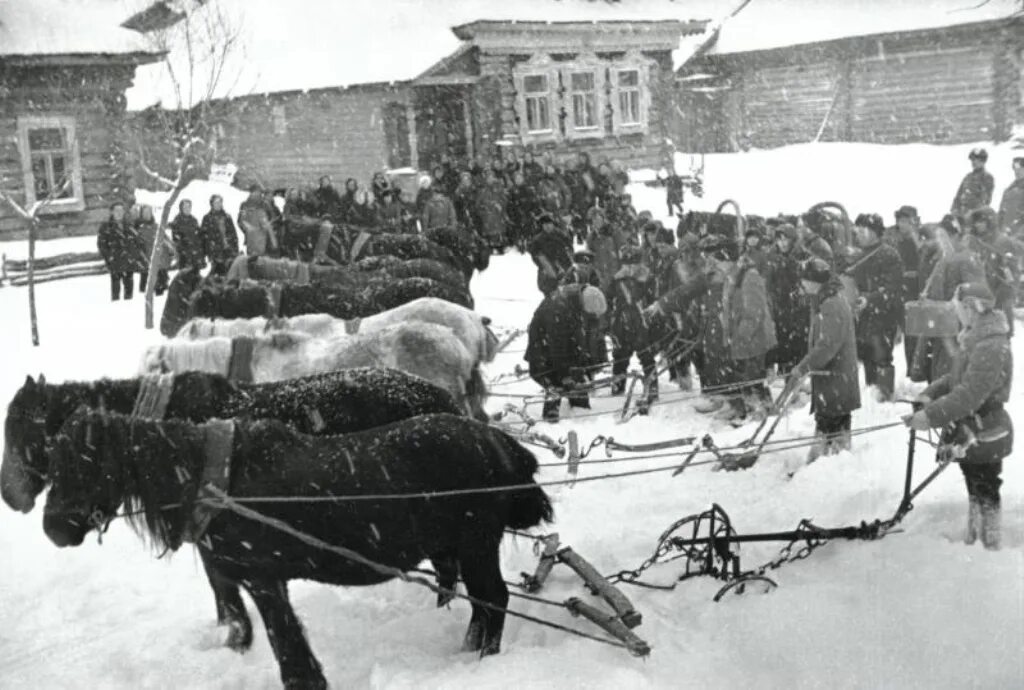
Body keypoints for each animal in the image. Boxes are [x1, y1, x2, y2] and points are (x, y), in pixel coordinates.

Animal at [41, 409, 552, 687]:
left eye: (82, 463)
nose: (52, 529)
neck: (216, 481)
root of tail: (498, 442)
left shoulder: (263, 579)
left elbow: (285, 642)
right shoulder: (240, 576)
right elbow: (244, 622)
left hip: (477, 545)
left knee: (494, 600)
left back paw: (483, 661)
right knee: (483, 605)